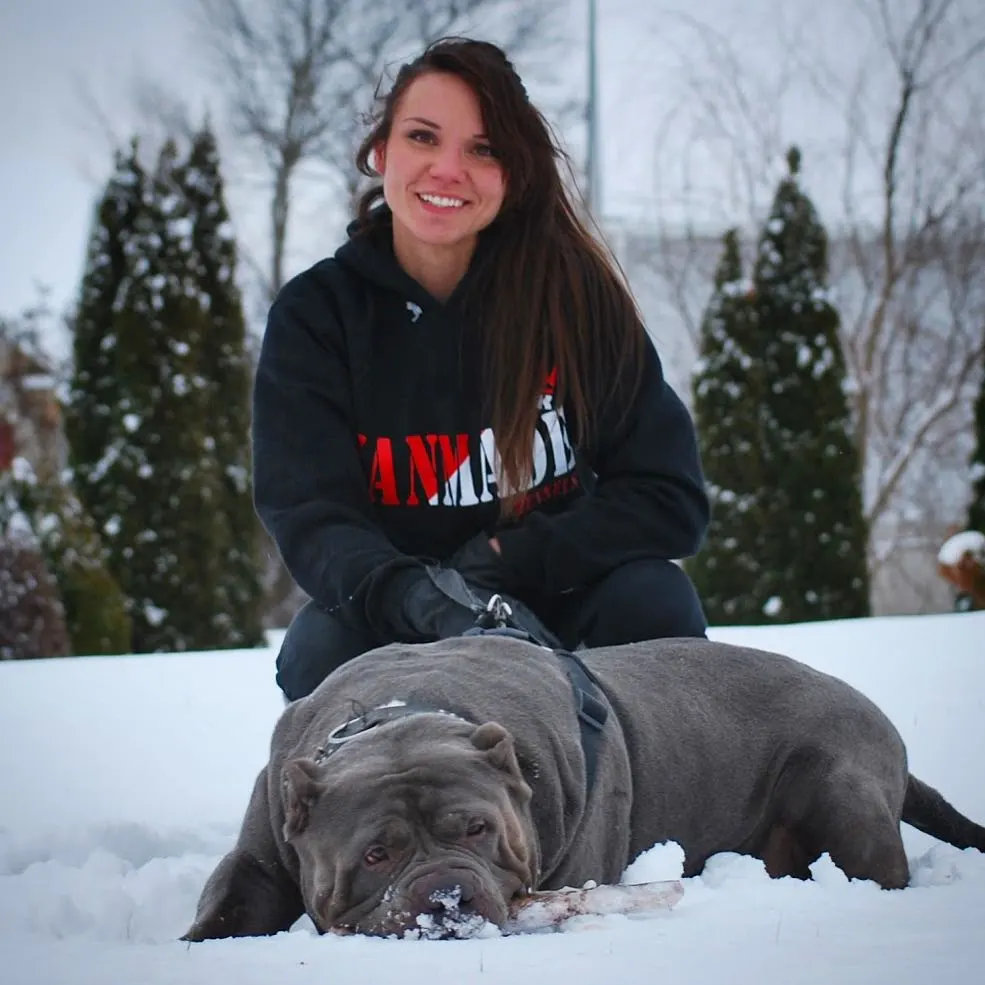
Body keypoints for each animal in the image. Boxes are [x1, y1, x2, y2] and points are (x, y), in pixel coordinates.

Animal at [181, 636, 980, 940]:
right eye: (376, 854)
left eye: (478, 830)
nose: (447, 894)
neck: (402, 715)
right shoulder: (261, 852)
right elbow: (228, 900)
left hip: (840, 784)